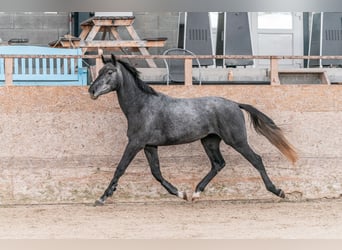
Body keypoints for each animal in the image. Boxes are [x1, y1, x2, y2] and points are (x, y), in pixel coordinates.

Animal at [89, 54, 300, 205]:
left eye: (109, 72)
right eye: (100, 71)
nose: (91, 90)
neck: (142, 105)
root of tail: (235, 104)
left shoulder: (135, 143)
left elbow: (120, 168)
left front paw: (102, 197)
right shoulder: (149, 146)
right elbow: (156, 173)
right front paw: (180, 193)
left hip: (237, 141)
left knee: (256, 160)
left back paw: (278, 191)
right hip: (209, 141)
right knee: (218, 164)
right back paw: (196, 193)